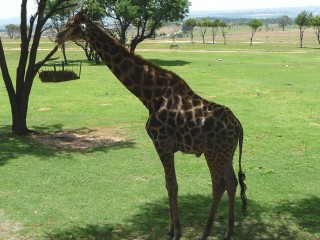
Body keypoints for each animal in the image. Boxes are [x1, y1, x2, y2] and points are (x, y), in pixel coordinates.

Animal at [55, 10, 248, 239]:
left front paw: (177, 232)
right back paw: (228, 232)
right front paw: (170, 228)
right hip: (226, 152)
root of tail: (238, 126)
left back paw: (205, 233)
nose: (57, 36)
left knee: (219, 185)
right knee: (232, 183)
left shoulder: (162, 143)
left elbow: (172, 185)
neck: (150, 96)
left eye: (70, 24)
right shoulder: (164, 145)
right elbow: (167, 184)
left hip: (213, 153)